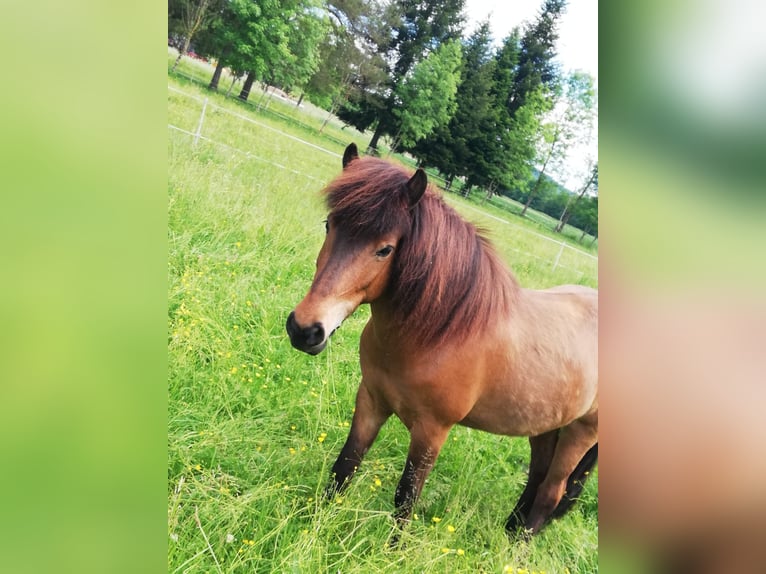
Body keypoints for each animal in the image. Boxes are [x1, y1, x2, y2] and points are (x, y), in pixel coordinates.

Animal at [288, 145, 600, 540]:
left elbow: (406, 497)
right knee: (536, 479)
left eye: (385, 249)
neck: (435, 335)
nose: (305, 329)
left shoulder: (432, 432)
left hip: (580, 433)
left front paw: (392, 549)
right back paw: (508, 534)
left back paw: (518, 546)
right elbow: (345, 466)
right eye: (330, 225)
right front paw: (313, 527)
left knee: (550, 493)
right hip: (546, 426)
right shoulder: (371, 400)